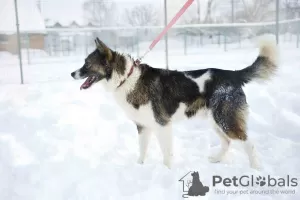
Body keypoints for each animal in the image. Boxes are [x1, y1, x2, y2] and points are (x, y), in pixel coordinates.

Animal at [71, 36, 278, 170]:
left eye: (87, 64)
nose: (72, 73)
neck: (127, 78)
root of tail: (233, 74)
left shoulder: (162, 125)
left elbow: (166, 154)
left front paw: (167, 172)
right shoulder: (143, 126)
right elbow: (142, 151)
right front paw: (139, 168)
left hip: (225, 119)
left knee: (247, 142)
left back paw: (256, 169)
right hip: (216, 120)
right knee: (227, 142)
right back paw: (217, 160)